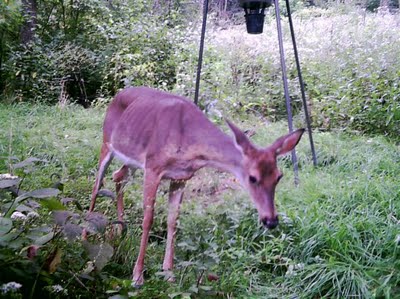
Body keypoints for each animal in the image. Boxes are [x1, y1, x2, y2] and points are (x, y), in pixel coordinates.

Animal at [88, 86, 304, 286]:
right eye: (252, 178)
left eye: (278, 176)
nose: (271, 221)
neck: (187, 141)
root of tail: (118, 94)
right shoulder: (153, 167)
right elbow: (148, 219)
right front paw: (138, 276)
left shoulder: (180, 178)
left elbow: (173, 221)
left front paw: (169, 273)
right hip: (107, 143)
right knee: (97, 185)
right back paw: (85, 236)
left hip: (132, 159)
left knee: (118, 176)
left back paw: (120, 231)